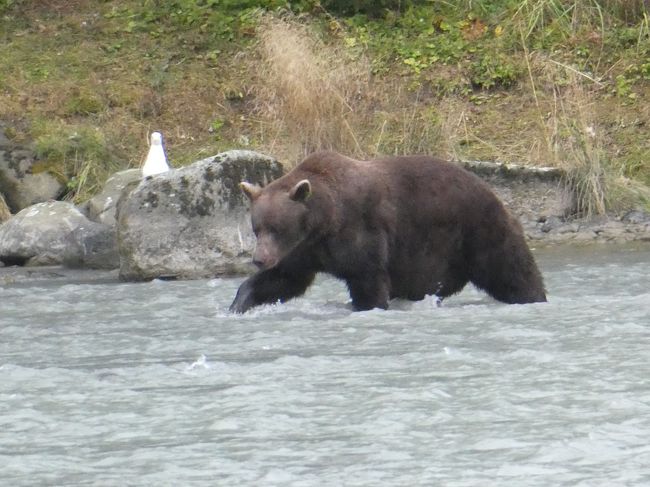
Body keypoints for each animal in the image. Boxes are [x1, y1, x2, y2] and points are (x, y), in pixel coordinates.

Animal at [230, 151, 544, 314]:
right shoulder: (305, 250)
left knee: (511, 270)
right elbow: (285, 279)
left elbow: (367, 279)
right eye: (257, 228)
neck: (324, 222)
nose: (259, 259)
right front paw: (238, 304)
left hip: (479, 230)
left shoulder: (359, 232)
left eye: (277, 228)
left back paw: (533, 297)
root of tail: (493, 192)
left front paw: (367, 305)